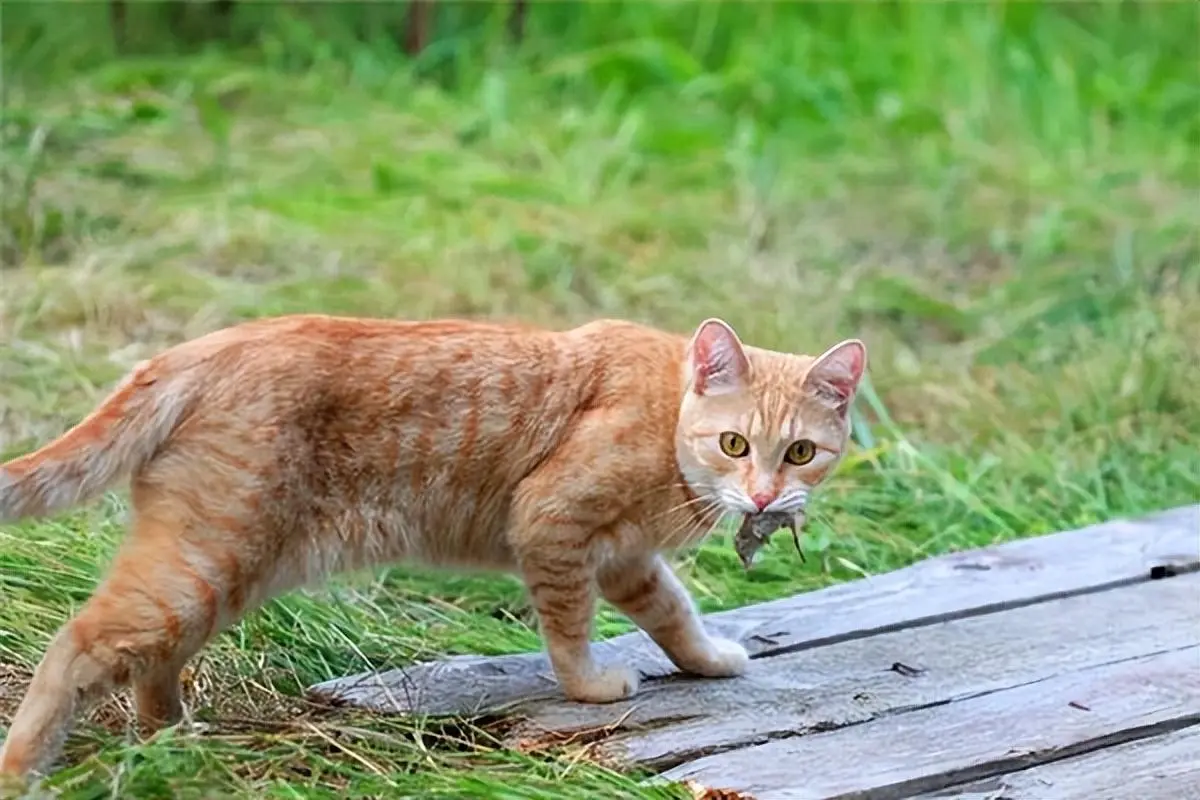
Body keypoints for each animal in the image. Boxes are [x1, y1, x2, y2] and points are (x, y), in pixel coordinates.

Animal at [0, 311, 864, 782]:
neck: (665, 412)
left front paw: (708, 659)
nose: (763, 499)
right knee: (77, 644)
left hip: (220, 567)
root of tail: (191, 350)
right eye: (733, 443)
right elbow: (569, 629)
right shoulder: (552, 526)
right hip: (207, 559)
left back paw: (175, 737)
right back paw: (26, 771)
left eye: (800, 453)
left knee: (156, 659)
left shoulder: (624, 557)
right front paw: (590, 687)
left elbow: (673, 612)